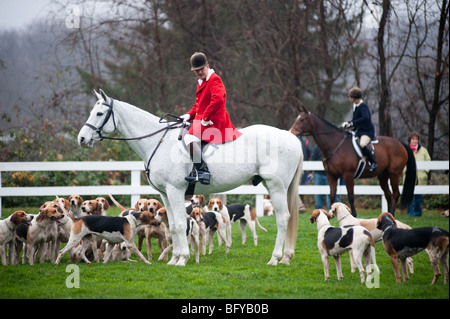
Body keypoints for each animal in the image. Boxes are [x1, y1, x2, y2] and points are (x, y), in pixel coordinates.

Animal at [77, 90, 304, 268]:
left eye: (99, 113)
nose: (81, 138)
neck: (158, 141)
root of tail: (291, 137)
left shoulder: (175, 190)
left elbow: (179, 225)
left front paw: (182, 259)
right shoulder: (165, 194)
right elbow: (173, 225)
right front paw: (174, 258)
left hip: (276, 186)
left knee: (283, 218)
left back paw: (275, 258)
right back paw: (286, 257)